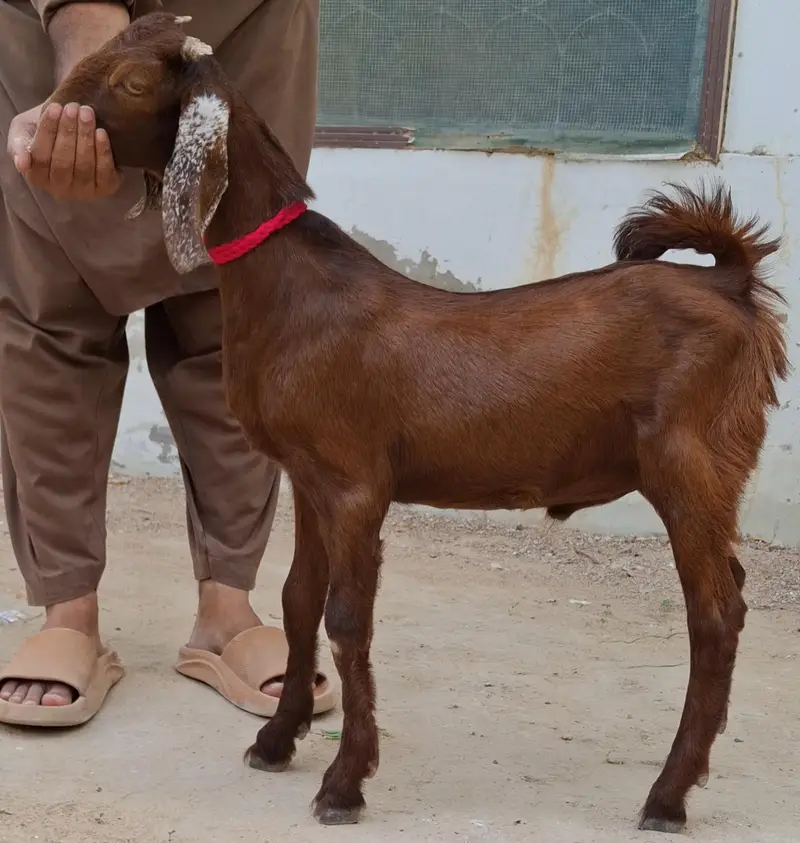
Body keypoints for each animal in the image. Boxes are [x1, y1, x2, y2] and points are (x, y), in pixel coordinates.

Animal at [47, 12, 789, 833]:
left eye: (132, 83)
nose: (46, 126)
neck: (292, 287)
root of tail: (731, 283)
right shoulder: (307, 476)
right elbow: (297, 599)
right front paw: (277, 739)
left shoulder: (354, 483)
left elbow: (347, 619)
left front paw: (344, 781)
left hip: (691, 465)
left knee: (716, 614)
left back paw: (667, 794)